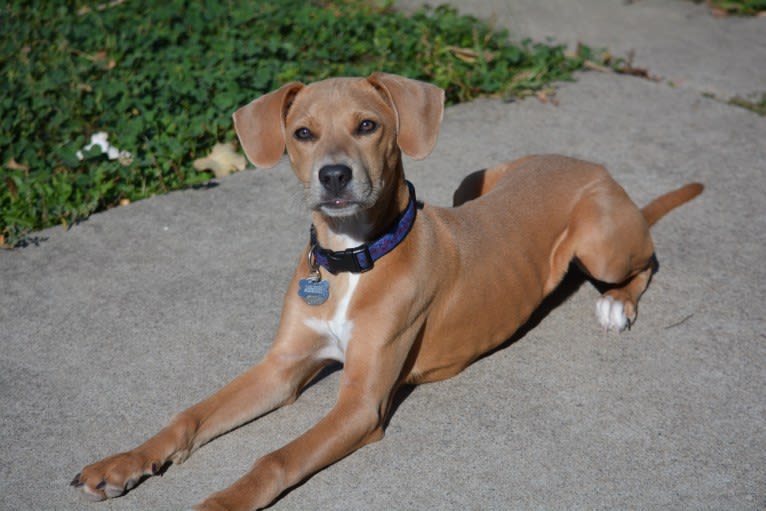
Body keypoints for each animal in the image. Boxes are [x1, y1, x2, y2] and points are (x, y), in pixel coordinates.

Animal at [72, 73, 704, 511]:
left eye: (367, 125)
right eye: (302, 133)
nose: (333, 175)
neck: (351, 261)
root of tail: (593, 166)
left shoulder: (360, 404)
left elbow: (275, 458)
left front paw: (223, 501)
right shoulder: (282, 368)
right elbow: (189, 416)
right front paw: (124, 462)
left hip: (602, 243)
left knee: (645, 259)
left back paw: (616, 303)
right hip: (475, 179)